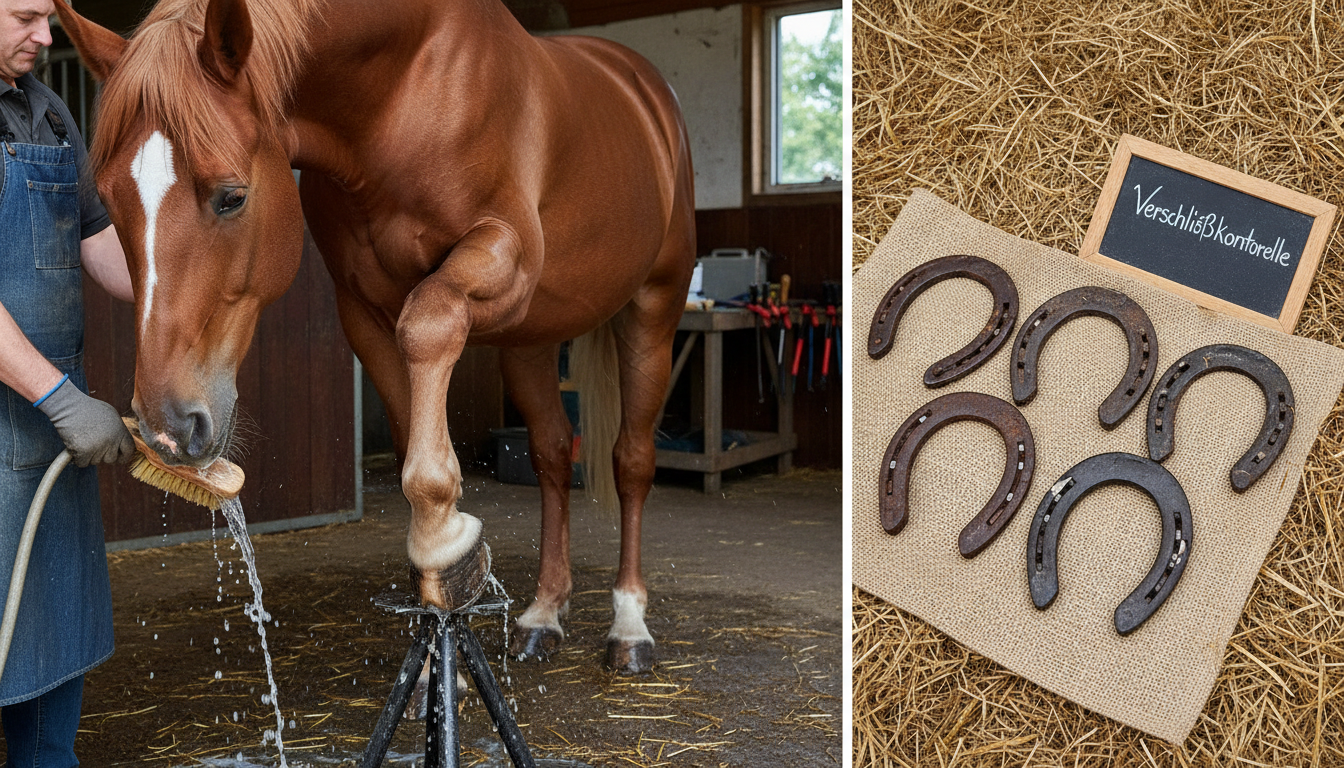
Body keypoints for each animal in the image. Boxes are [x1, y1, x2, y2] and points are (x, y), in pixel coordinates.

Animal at [54, 0, 696, 674]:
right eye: (110, 206)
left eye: (231, 197)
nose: (168, 430)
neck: (402, 95)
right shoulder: (364, 311)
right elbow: (414, 419)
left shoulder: (506, 254)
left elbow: (429, 324)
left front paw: (443, 537)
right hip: (530, 339)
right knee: (550, 456)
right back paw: (544, 613)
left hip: (653, 310)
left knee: (632, 462)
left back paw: (629, 626)